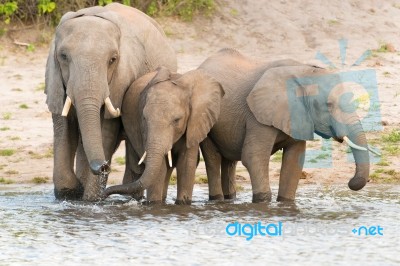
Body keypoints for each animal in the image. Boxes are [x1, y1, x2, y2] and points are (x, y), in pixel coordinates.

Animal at [43, 3, 177, 201]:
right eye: (63, 56)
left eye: (113, 60)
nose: (104, 166)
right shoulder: (56, 81)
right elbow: (64, 127)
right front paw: (73, 192)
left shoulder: (120, 81)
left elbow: (106, 130)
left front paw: (90, 200)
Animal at [101, 66, 223, 204]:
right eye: (144, 118)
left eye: (177, 120)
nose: (103, 195)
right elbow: (160, 168)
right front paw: (154, 204)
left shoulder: (194, 124)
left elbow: (186, 163)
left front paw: (183, 204)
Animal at [198, 48, 376, 202]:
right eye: (328, 105)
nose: (351, 182)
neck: (303, 71)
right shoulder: (258, 115)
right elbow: (253, 157)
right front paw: (263, 202)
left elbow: (294, 161)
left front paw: (285, 203)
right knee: (213, 158)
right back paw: (217, 199)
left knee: (229, 162)